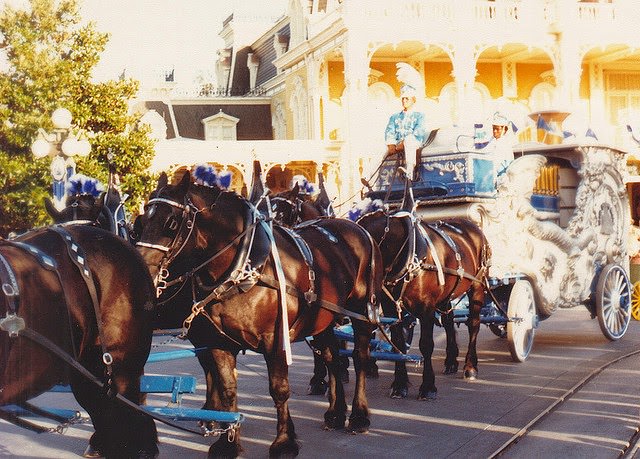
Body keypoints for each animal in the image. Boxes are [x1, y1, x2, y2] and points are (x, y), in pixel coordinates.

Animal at [136, 172, 382, 459]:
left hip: (362, 312)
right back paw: (335, 412)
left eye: (172, 223)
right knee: (332, 357)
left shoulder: (275, 340)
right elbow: (228, 388)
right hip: (322, 317)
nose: (142, 269)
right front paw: (227, 442)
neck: (244, 267)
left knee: (360, 357)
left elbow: (279, 389)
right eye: (142, 221)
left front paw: (284, 442)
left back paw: (359, 416)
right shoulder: (218, 342)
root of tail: (358, 229)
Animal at [358, 189, 488, 400]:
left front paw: (428, 386)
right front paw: (400, 384)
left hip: (477, 286)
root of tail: (471, 226)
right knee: (449, 321)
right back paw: (451, 360)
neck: (407, 256)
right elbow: (399, 343)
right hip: (445, 295)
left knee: (474, 324)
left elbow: (426, 344)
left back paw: (470, 366)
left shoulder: (426, 307)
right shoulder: (391, 308)